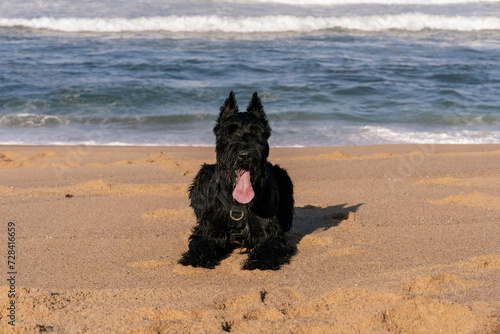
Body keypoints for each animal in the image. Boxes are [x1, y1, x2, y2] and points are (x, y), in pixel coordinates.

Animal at [180, 91, 294, 272]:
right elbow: (200, 243)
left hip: (284, 178)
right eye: (230, 132)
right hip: (203, 174)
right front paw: (196, 258)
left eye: (255, 133)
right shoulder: (208, 230)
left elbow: (269, 246)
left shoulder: (270, 234)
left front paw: (259, 261)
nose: (245, 155)